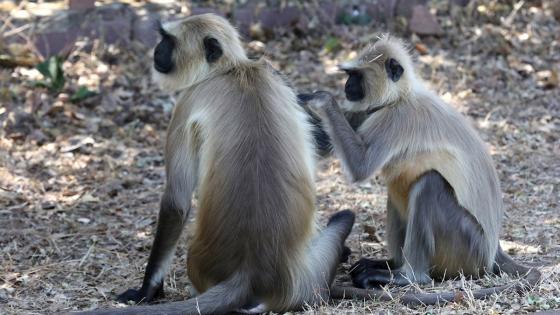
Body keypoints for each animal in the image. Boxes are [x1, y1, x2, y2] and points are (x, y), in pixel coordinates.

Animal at [77, 14, 356, 315]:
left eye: (169, 40)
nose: (156, 51)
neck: (233, 70)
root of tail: (251, 272)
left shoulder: (186, 101)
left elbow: (176, 202)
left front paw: (147, 290)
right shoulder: (273, 73)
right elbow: (322, 144)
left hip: (204, 271)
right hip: (304, 282)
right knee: (344, 216)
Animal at [304, 35, 540, 308]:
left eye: (356, 76)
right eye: (349, 75)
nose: (347, 85)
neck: (398, 97)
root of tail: (494, 250)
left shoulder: (395, 119)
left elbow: (361, 167)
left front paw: (321, 100)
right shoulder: (366, 112)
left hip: (468, 247)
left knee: (428, 183)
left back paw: (407, 276)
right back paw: (389, 264)